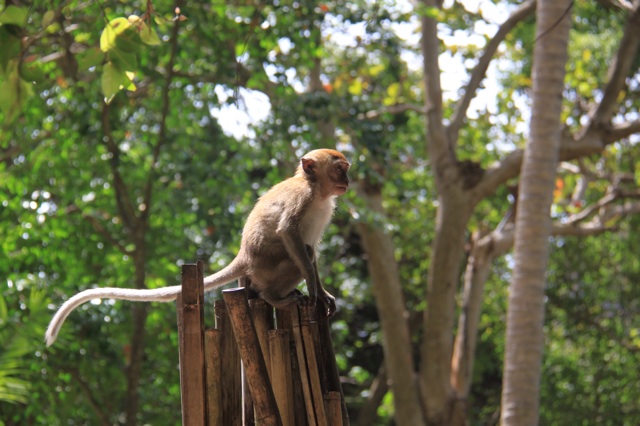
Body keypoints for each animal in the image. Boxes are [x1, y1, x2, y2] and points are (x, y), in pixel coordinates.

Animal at [45, 149, 351, 346]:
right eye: (340, 169)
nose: (347, 181)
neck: (315, 189)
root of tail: (244, 257)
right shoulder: (303, 196)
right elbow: (289, 233)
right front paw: (313, 288)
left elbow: (312, 248)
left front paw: (323, 292)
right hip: (266, 265)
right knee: (299, 255)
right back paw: (273, 296)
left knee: (307, 251)